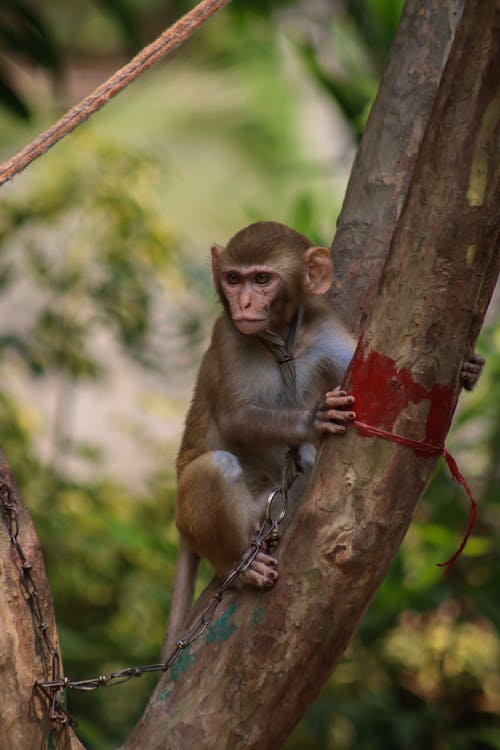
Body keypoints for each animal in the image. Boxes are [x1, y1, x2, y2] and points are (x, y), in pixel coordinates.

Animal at [162, 222, 482, 656]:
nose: (243, 303)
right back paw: (239, 568)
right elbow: (236, 417)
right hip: (198, 515)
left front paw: (469, 369)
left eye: (261, 279)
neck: (283, 341)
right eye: (233, 278)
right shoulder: (228, 333)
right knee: (217, 467)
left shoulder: (324, 323)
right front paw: (316, 419)